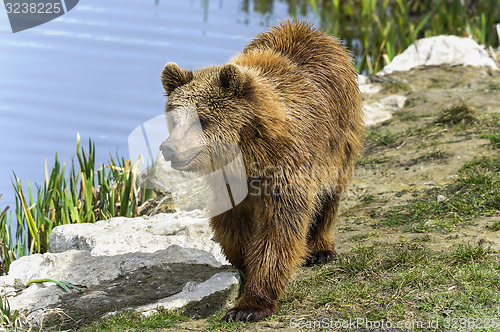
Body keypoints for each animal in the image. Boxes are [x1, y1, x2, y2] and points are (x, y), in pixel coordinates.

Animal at [160, 20, 364, 322]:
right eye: (175, 119)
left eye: (202, 120)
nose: (169, 148)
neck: (249, 154)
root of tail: (315, 32)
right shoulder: (229, 183)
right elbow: (232, 225)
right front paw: (243, 266)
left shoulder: (286, 167)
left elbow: (278, 230)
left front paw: (249, 306)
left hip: (338, 137)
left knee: (329, 193)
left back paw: (320, 248)